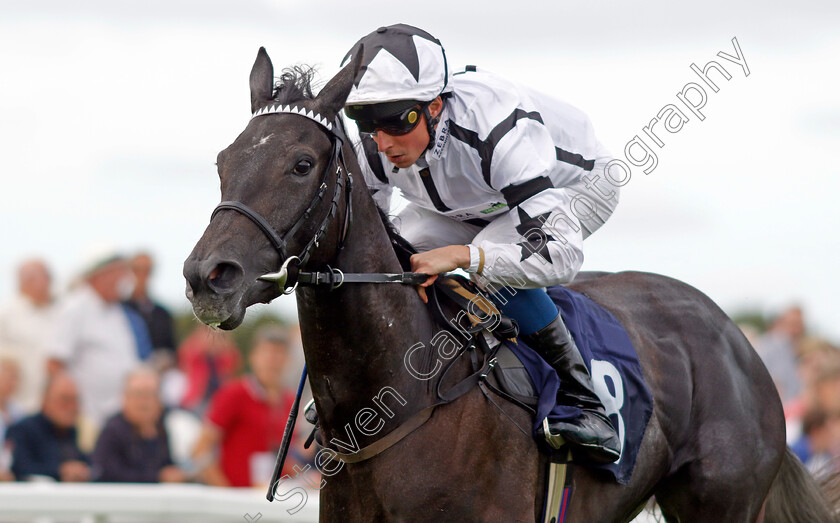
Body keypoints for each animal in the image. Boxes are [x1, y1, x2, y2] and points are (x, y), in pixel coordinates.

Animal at [182, 47, 832, 520]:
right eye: (222, 161)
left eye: (301, 164)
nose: (205, 276)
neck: (399, 402)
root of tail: (736, 336)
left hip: (721, 500)